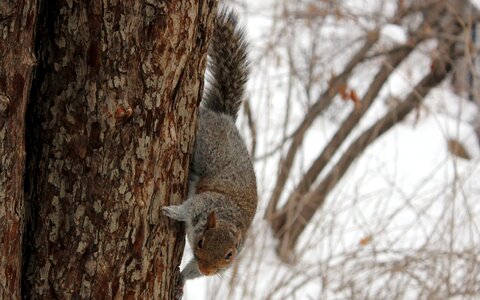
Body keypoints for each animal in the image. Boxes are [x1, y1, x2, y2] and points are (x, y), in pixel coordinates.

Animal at [161, 5, 256, 288]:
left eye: (229, 255)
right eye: (201, 241)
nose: (206, 270)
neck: (227, 218)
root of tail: (223, 117)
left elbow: (190, 270)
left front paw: (182, 279)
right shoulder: (207, 201)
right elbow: (190, 206)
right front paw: (174, 211)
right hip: (204, 141)